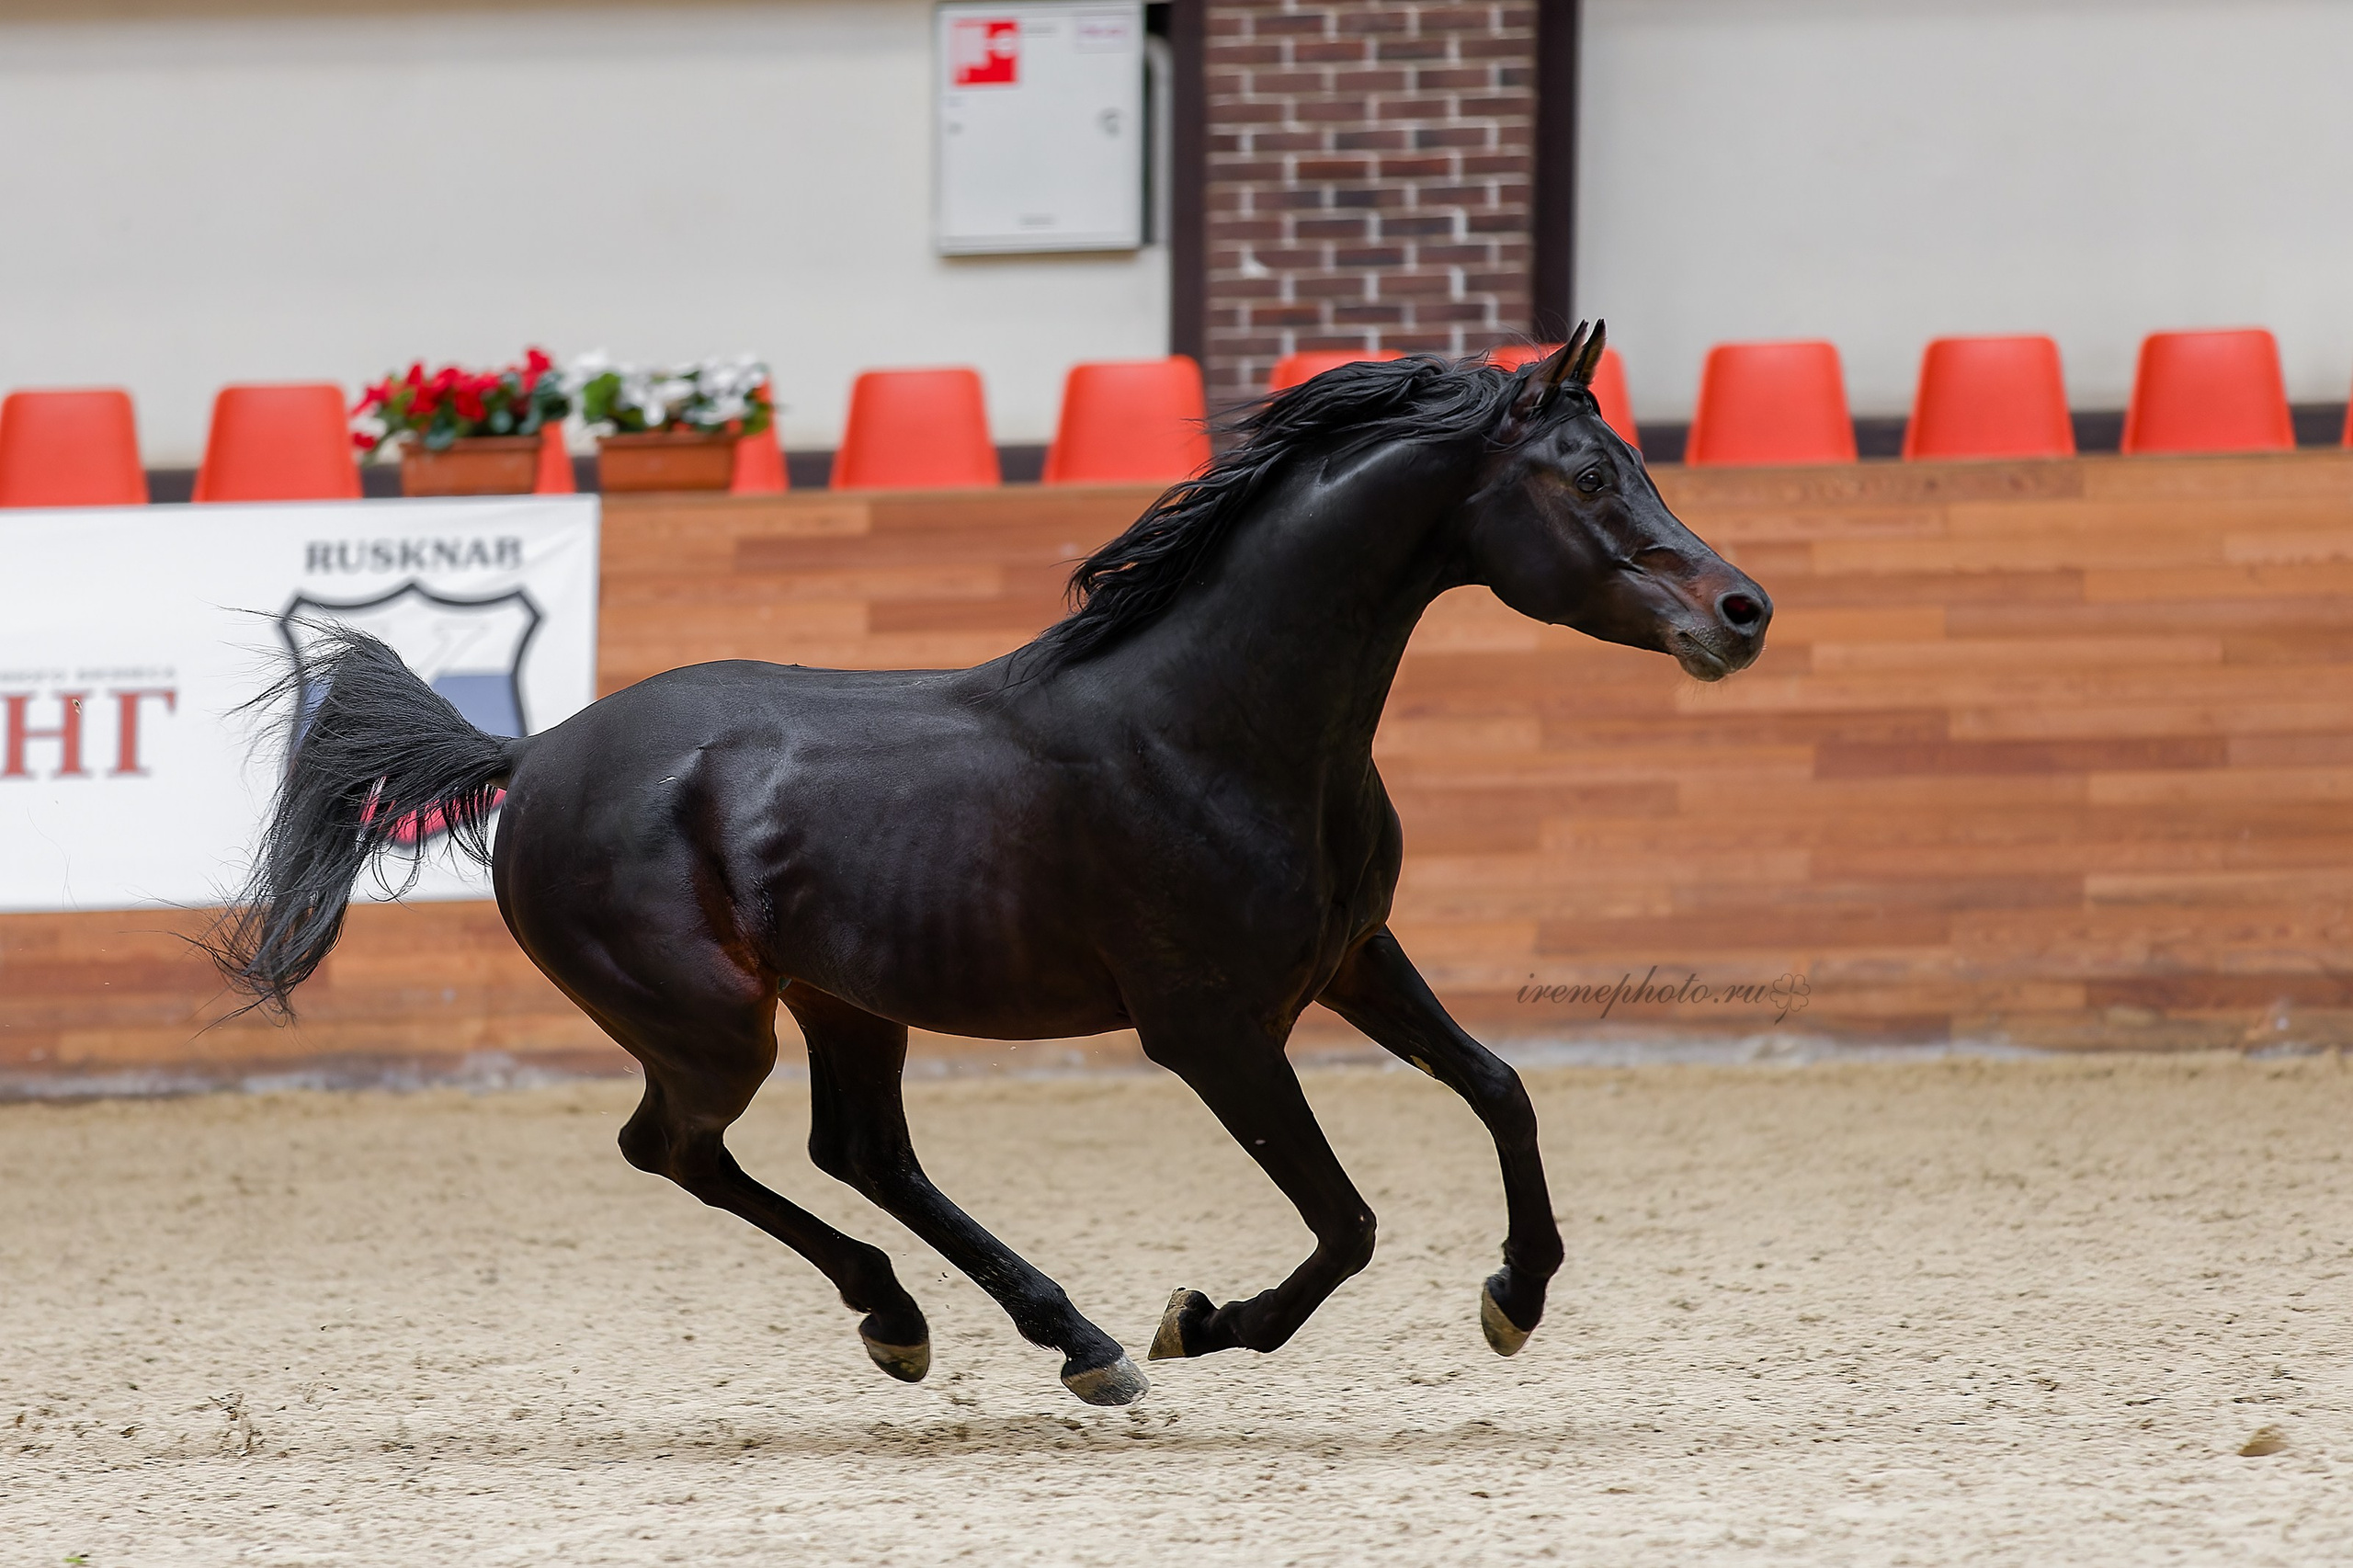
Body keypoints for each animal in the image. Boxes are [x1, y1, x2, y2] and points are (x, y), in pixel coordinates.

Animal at [209, 324, 1771, 1407]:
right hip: (715, 1026)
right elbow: (1347, 1220)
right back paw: (966, 1327)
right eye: (1587, 474)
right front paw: (1202, 1323)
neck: (1214, 724)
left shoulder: (1351, 962)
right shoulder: (1211, 1030)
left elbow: (1502, 1089)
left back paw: (1044, 1335)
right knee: (683, 1149)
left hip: (846, 999)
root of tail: (529, 757)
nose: (1742, 610)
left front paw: (1517, 1295)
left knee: (861, 1151)